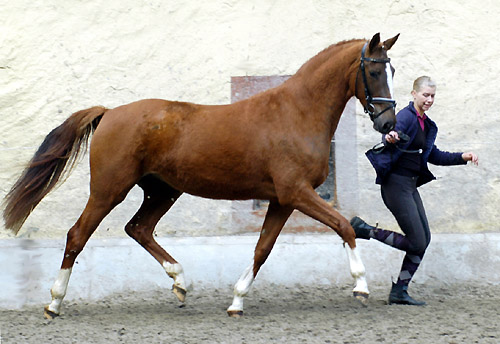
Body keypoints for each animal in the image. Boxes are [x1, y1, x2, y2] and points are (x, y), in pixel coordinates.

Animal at [1, 32, 398, 318]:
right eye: (374, 71)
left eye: (391, 71)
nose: (388, 124)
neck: (296, 112)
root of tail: (109, 113)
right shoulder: (297, 192)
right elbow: (344, 226)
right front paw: (361, 287)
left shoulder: (282, 200)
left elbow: (262, 249)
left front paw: (236, 302)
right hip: (108, 190)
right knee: (77, 235)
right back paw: (54, 303)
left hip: (162, 191)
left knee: (138, 228)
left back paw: (180, 282)